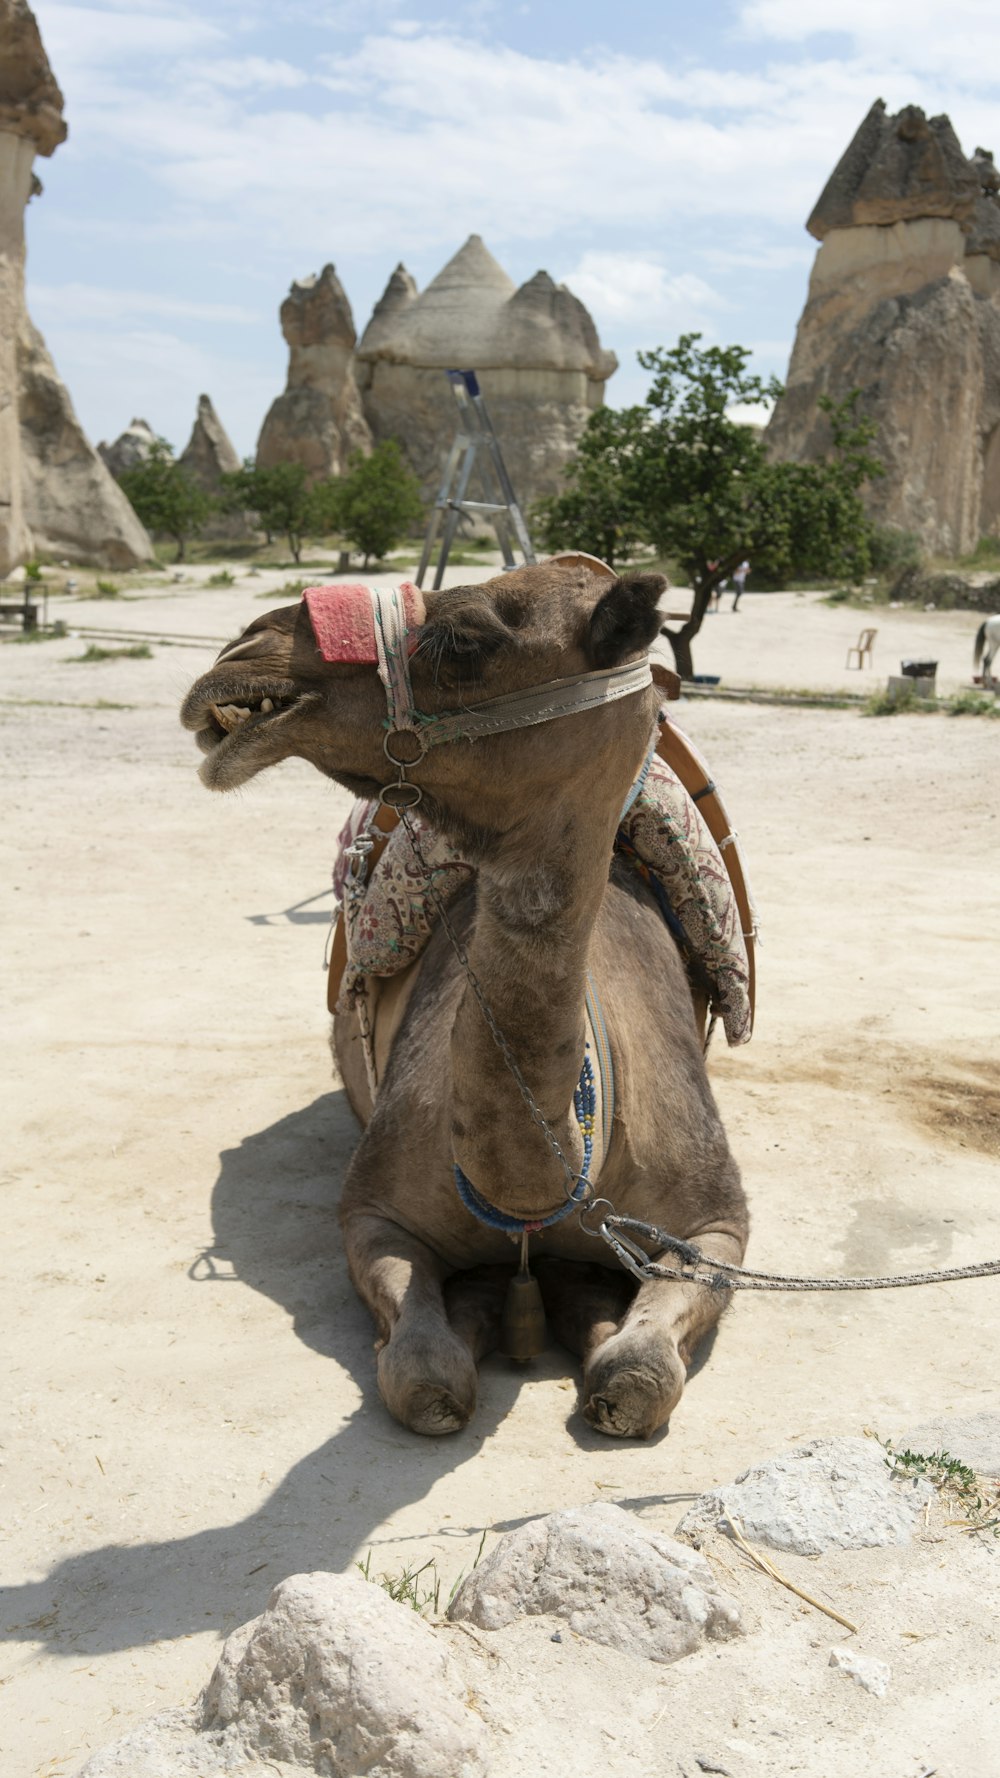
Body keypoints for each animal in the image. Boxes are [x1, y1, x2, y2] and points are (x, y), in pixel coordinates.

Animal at [183, 561, 747, 1436]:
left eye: (466, 637)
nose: (245, 650)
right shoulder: (373, 1213)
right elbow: (425, 1377)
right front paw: (492, 1310)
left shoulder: (718, 1223)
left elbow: (640, 1374)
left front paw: (591, 1330)